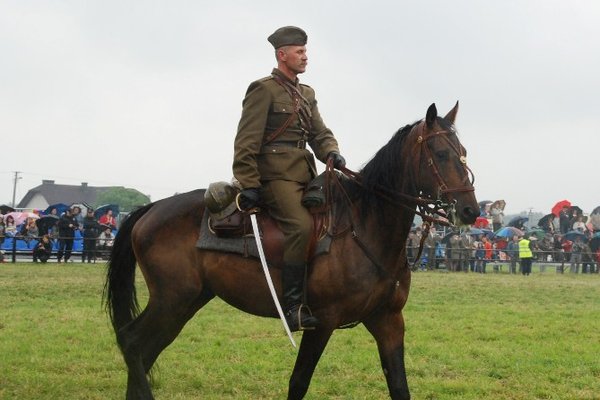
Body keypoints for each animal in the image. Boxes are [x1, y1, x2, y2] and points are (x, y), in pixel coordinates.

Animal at [103, 102, 478, 396]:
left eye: (463, 153)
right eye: (441, 154)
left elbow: (399, 384)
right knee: (132, 342)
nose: (470, 210)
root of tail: (151, 208)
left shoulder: (388, 321)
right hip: (172, 299)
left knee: (144, 351)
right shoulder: (322, 323)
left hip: (186, 301)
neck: (366, 226)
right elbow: (298, 382)